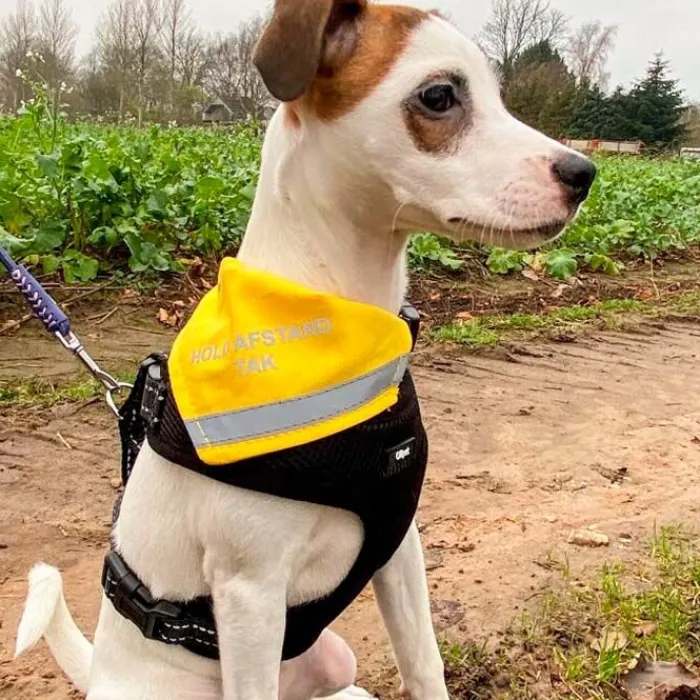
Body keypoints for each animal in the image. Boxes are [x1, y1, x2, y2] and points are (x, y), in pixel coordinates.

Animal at [15, 1, 596, 700]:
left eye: (500, 96)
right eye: (438, 96)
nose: (584, 174)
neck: (345, 322)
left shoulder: (400, 547)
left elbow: (424, 663)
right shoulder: (250, 593)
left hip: (335, 660)